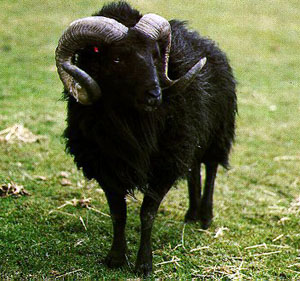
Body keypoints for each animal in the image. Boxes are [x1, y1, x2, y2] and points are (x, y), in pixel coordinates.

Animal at [54, 1, 237, 274]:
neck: (131, 124)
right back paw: (191, 215)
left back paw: (205, 216)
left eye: (154, 55)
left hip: (217, 133)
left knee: (211, 167)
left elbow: (147, 213)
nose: (155, 95)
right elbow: (118, 213)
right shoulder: (104, 165)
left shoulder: (165, 164)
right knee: (194, 168)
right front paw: (116, 258)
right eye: (117, 58)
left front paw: (144, 264)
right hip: (193, 138)